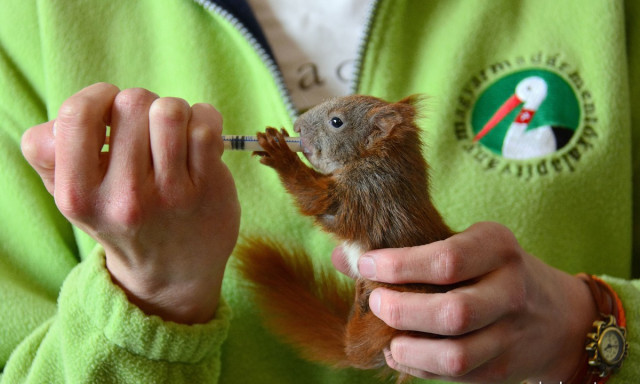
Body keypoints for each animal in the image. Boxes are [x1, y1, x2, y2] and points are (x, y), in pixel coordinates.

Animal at [235, 95, 456, 378]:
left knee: (356, 350)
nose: (296, 127)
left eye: (336, 122)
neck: (380, 156)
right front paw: (279, 138)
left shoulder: (369, 192)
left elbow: (320, 200)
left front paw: (280, 153)